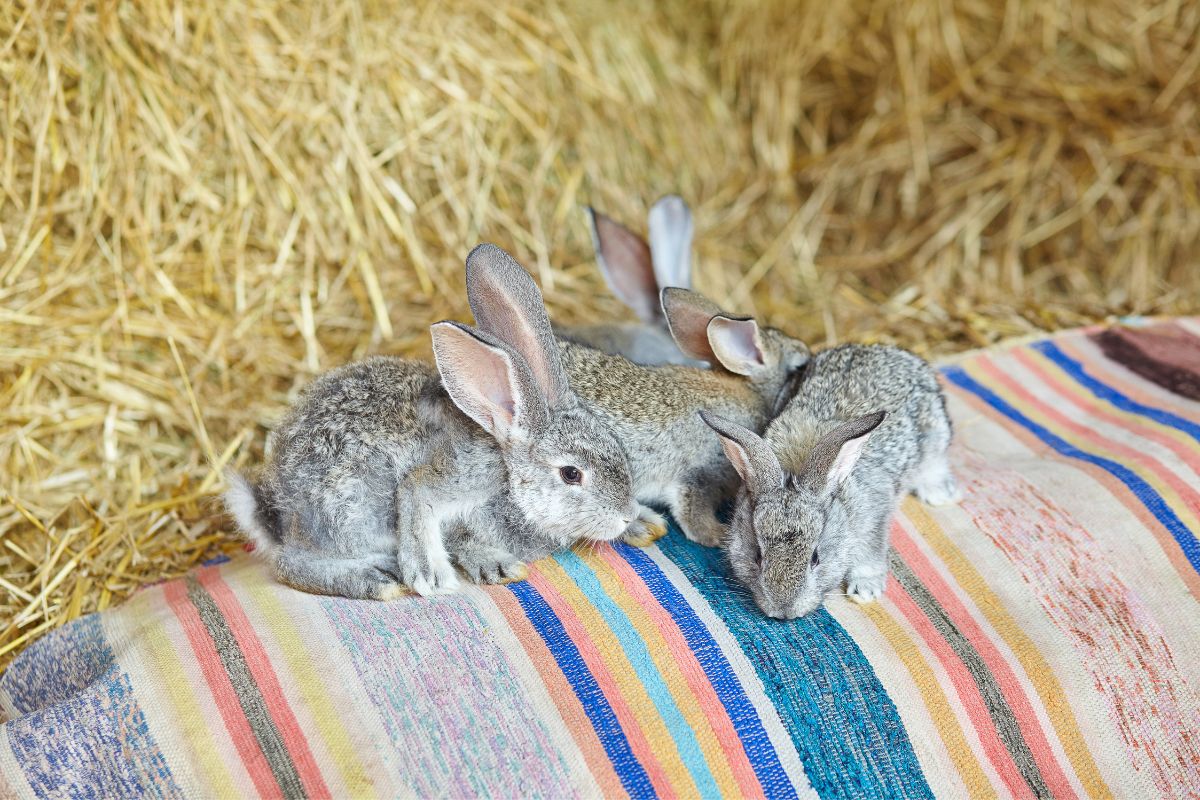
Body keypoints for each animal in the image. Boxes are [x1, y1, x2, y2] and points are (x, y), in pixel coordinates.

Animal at [224, 244, 638, 599]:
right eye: (571, 474)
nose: (626, 516)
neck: (509, 469)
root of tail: (276, 511)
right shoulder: (463, 477)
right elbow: (421, 497)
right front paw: (446, 572)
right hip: (350, 513)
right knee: (290, 564)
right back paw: (375, 579)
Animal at [700, 343, 960, 618]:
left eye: (815, 558)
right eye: (758, 556)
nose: (784, 612)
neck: (794, 469)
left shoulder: (875, 513)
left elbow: (870, 551)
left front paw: (866, 590)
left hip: (934, 437)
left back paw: (939, 493)